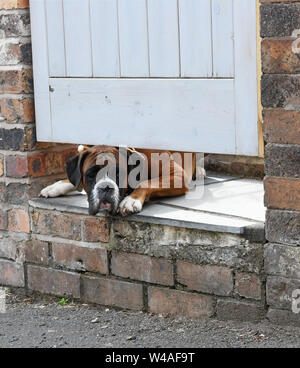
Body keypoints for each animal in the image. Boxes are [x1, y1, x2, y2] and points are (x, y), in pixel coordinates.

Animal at [39, 145, 204, 217]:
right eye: (90, 175)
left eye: (119, 174)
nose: (105, 187)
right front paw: (55, 186)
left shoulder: (177, 176)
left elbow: (146, 182)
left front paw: (131, 200)